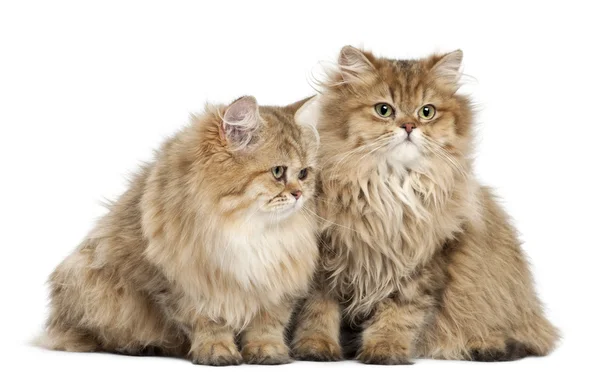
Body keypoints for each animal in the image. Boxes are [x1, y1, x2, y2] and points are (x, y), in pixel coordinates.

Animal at [41, 94, 324, 366]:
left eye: (303, 173)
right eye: (277, 172)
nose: (299, 194)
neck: (249, 230)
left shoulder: (279, 283)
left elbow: (267, 326)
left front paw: (268, 352)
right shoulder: (188, 282)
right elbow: (210, 323)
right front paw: (217, 352)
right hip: (90, 280)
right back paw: (138, 347)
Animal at [290, 47, 556, 364]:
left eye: (426, 112)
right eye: (384, 110)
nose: (409, 126)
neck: (391, 188)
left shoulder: (422, 265)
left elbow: (399, 314)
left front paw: (385, 350)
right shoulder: (326, 262)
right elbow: (318, 311)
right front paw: (316, 347)